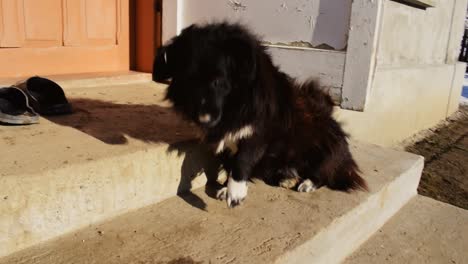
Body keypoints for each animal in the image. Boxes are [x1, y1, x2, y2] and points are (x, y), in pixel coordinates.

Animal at [153, 22, 366, 207]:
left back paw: (307, 183)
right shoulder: (225, 141)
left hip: (322, 146)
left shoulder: (258, 134)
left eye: (218, 81)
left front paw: (235, 194)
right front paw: (225, 189)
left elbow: (242, 161)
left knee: (326, 172)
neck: (234, 105)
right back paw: (287, 178)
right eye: (188, 82)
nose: (204, 120)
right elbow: (228, 163)